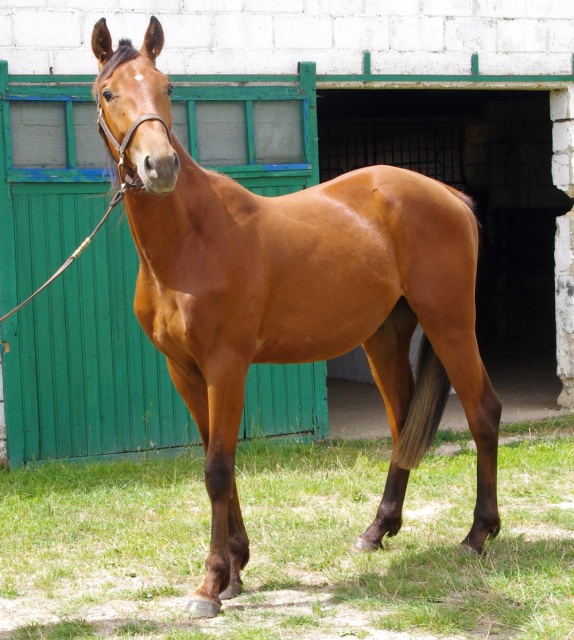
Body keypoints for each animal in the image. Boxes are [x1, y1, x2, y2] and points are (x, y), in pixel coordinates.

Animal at [92, 17, 502, 620]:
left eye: (167, 87)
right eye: (108, 92)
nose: (159, 166)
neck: (192, 239)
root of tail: (448, 194)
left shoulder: (226, 367)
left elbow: (218, 468)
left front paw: (210, 584)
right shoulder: (184, 370)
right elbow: (216, 459)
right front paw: (235, 568)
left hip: (450, 324)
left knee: (483, 413)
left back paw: (477, 535)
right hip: (385, 336)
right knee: (402, 423)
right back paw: (377, 529)